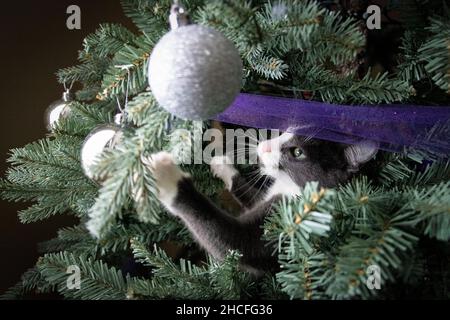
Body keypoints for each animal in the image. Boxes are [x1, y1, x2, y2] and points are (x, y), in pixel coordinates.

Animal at [147, 132, 376, 276]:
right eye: (285, 132)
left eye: (297, 152)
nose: (265, 145)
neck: (289, 188)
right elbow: (251, 195)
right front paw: (222, 165)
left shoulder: (288, 226)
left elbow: (234, 242)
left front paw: (166, 175)